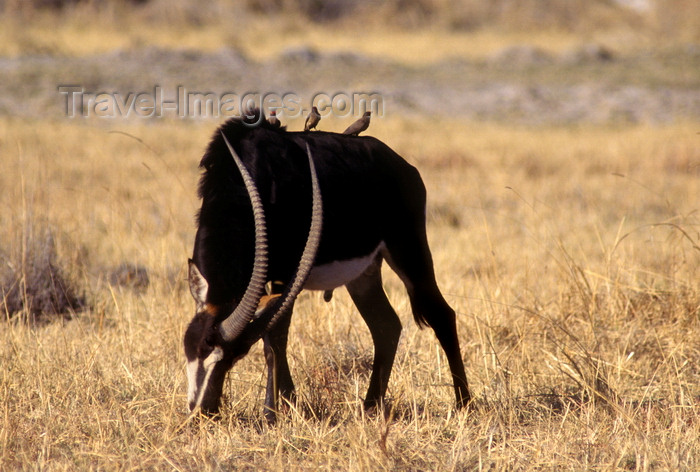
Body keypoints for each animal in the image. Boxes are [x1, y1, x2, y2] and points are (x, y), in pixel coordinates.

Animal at [186, 109, 470, 418]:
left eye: (233, 356)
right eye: (200, 344)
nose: (204, 409)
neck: (247, 172)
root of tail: (404, 167)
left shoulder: (287, 271)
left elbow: (275, 336)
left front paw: (271, 413)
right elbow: (272, 333)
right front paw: (288, 401)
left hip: (408, 251)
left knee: (441, 315)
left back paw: (465, 403)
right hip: (364, 274)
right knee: (386, 325)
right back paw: (370, 406)